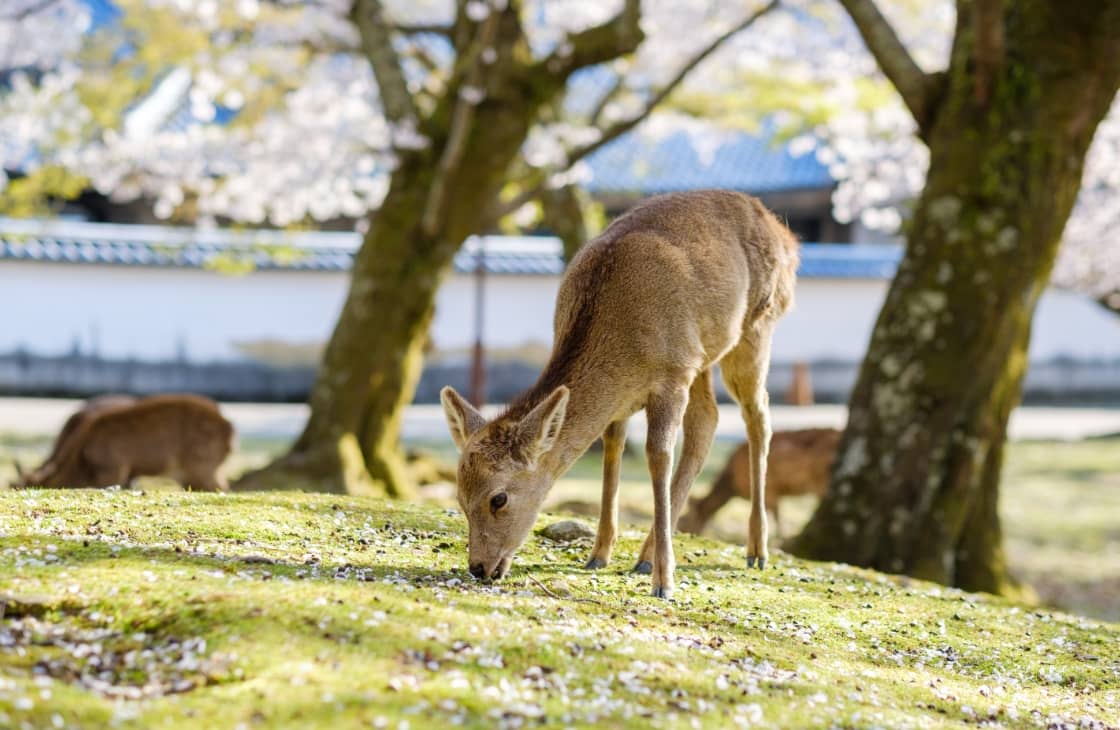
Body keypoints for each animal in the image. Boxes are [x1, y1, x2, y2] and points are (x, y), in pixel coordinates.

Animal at [436, 189, 797, 600]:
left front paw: (664, 581)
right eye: (460, 497)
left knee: (758, 415)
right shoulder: (631, 395)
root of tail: (785, 235)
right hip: (705, 354)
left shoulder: (672, 374)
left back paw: (756, 550)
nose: (478, 567)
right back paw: (645, 555)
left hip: (756, 327)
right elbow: (613, 448)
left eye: (499, 498)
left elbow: (658, 455)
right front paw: (598, 554)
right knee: (708, 421)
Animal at [672, 425, 842, 539]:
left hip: (821, 482)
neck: (733, 484)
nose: (681, 532)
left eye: (684, 520)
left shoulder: (770, 490)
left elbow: (774, 516)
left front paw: (778, 539)